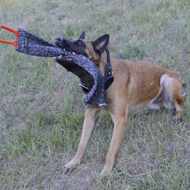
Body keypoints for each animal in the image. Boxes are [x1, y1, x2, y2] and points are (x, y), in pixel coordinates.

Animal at [54, 31, 184, 176]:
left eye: (80, 43)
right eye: (71, 39)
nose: (57, 39)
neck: (103, 77)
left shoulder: (119, 120)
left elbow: (111, 150)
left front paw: (106, 172)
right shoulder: (90, 115)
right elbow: (81, 144)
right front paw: (73, 163)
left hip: (167, 81)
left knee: (179, 105)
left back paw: (177, 116)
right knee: (154, 107)